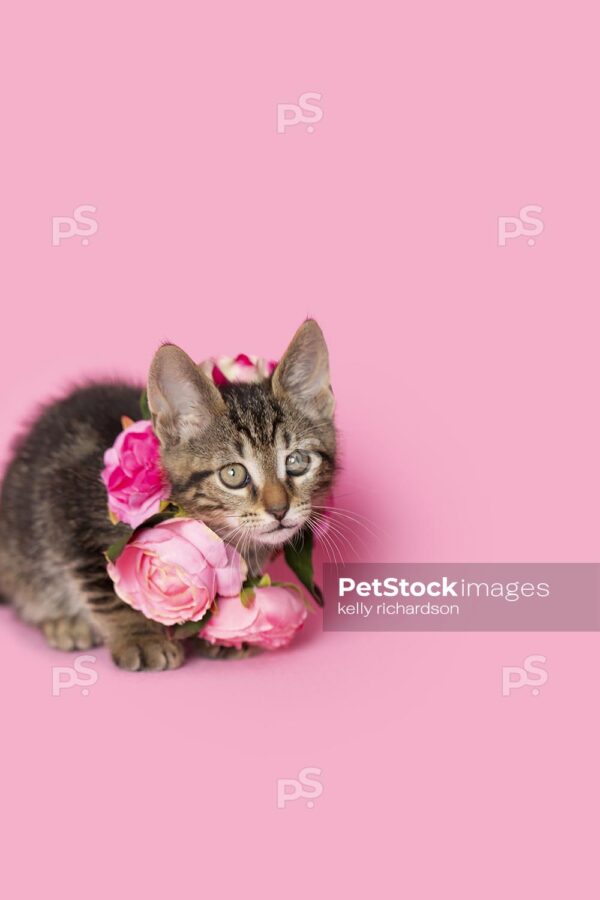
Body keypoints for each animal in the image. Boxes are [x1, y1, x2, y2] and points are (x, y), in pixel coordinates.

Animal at [0, 318, 336, 668]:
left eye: (296, 461)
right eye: (233, 474)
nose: (279, 509)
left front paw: (220, 634)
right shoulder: (74, 518)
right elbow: (109, 590)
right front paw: (141, 638)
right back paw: (64, 623)